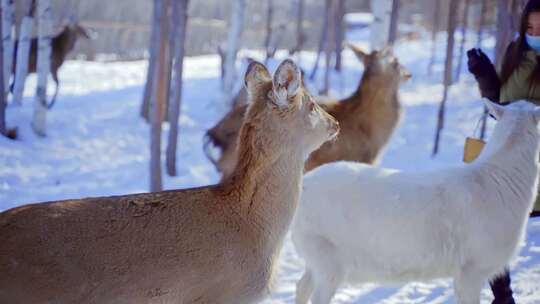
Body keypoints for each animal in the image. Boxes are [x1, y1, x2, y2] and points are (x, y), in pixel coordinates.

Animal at [292, 100, 540, 304]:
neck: (499, 179)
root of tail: (302, 186)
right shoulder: (471, 269)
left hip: (315, 257)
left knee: (301, 287)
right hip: (326, 255)